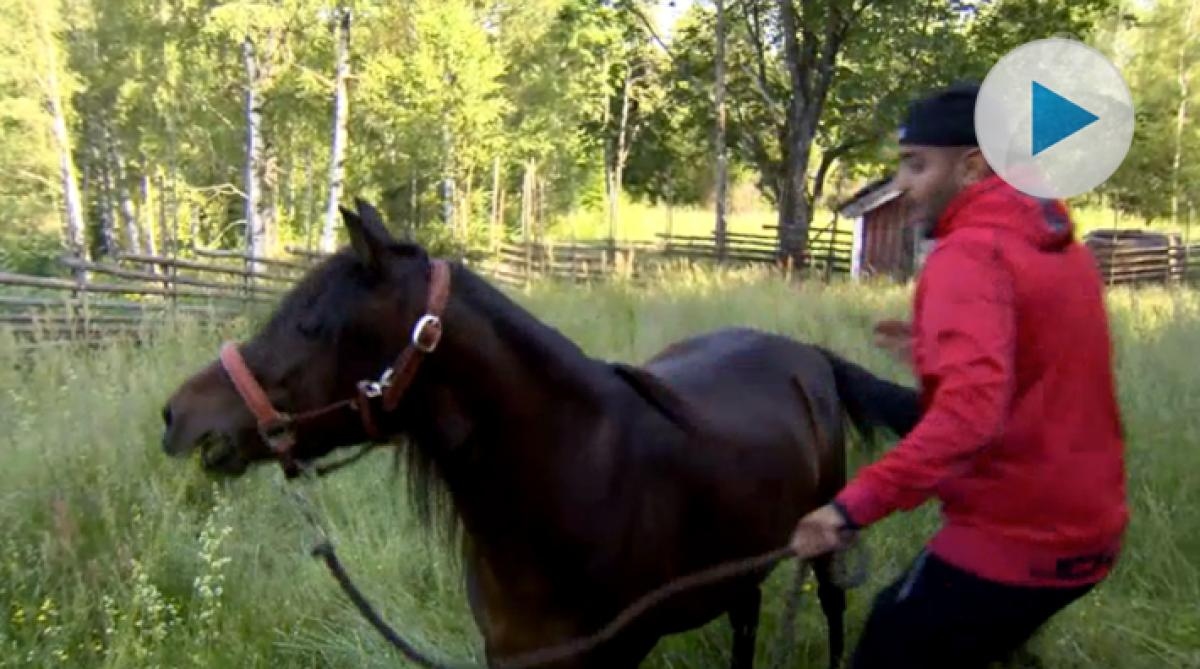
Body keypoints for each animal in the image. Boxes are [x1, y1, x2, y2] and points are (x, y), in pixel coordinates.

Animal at [157, 200, 907, 669]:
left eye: (310, 325)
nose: (179, 416)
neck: (570, 485)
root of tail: (805, 354)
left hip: (826, 551)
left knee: (833, 614)